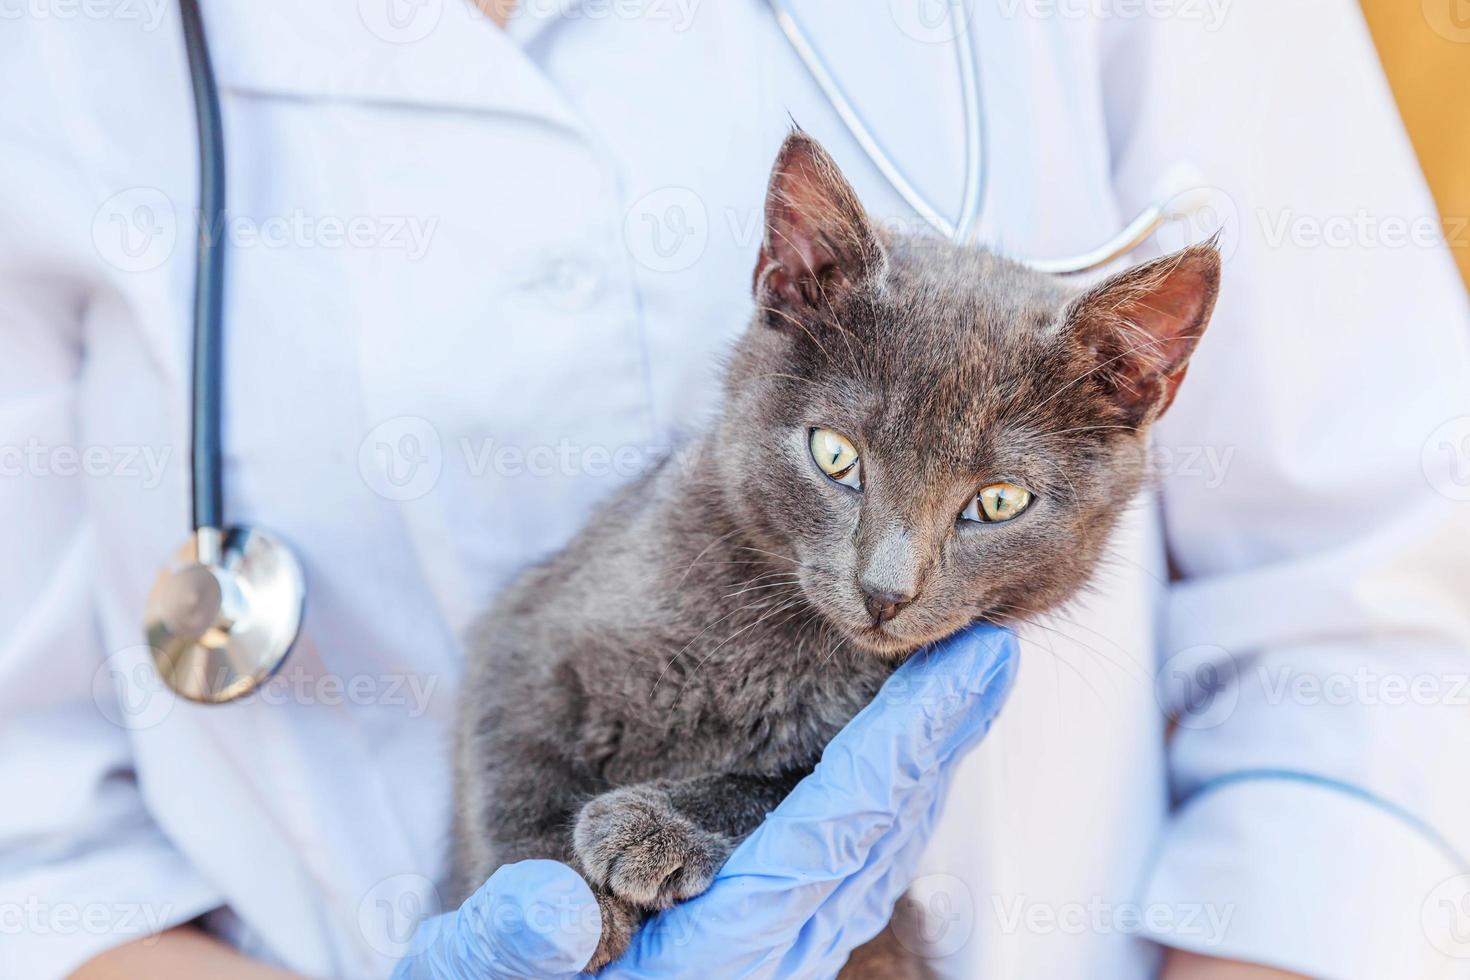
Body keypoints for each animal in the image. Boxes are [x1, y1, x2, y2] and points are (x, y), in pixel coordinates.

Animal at [452, 132, 1223, 975]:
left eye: (997, 502)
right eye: (835, 455)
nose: (885, 590)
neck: (777, 646)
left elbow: (789, 785)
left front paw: (654, 828)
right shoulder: (529, 625)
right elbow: (514, 760)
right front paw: (551, 897)